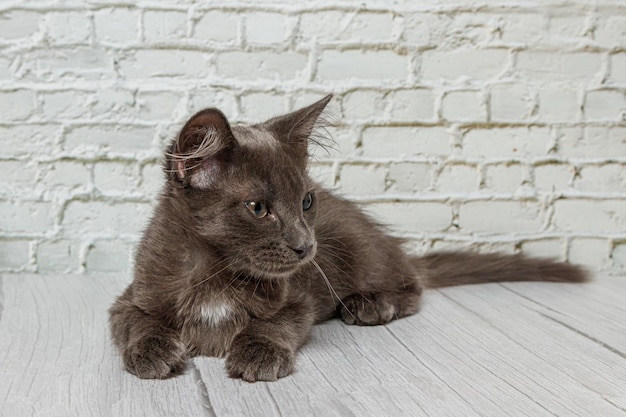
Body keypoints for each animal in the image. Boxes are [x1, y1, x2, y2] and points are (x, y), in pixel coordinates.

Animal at [109, 95, 588, 380]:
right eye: (258, 208)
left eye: (306, 201)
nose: (305, 246)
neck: (216, 272)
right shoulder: (132, 295)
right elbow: (136, 321)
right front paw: (151, 353)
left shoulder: (298, 299)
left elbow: (275, 323)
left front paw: (258, 354)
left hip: (362, 249)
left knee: (412, 284)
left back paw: (370, 304)